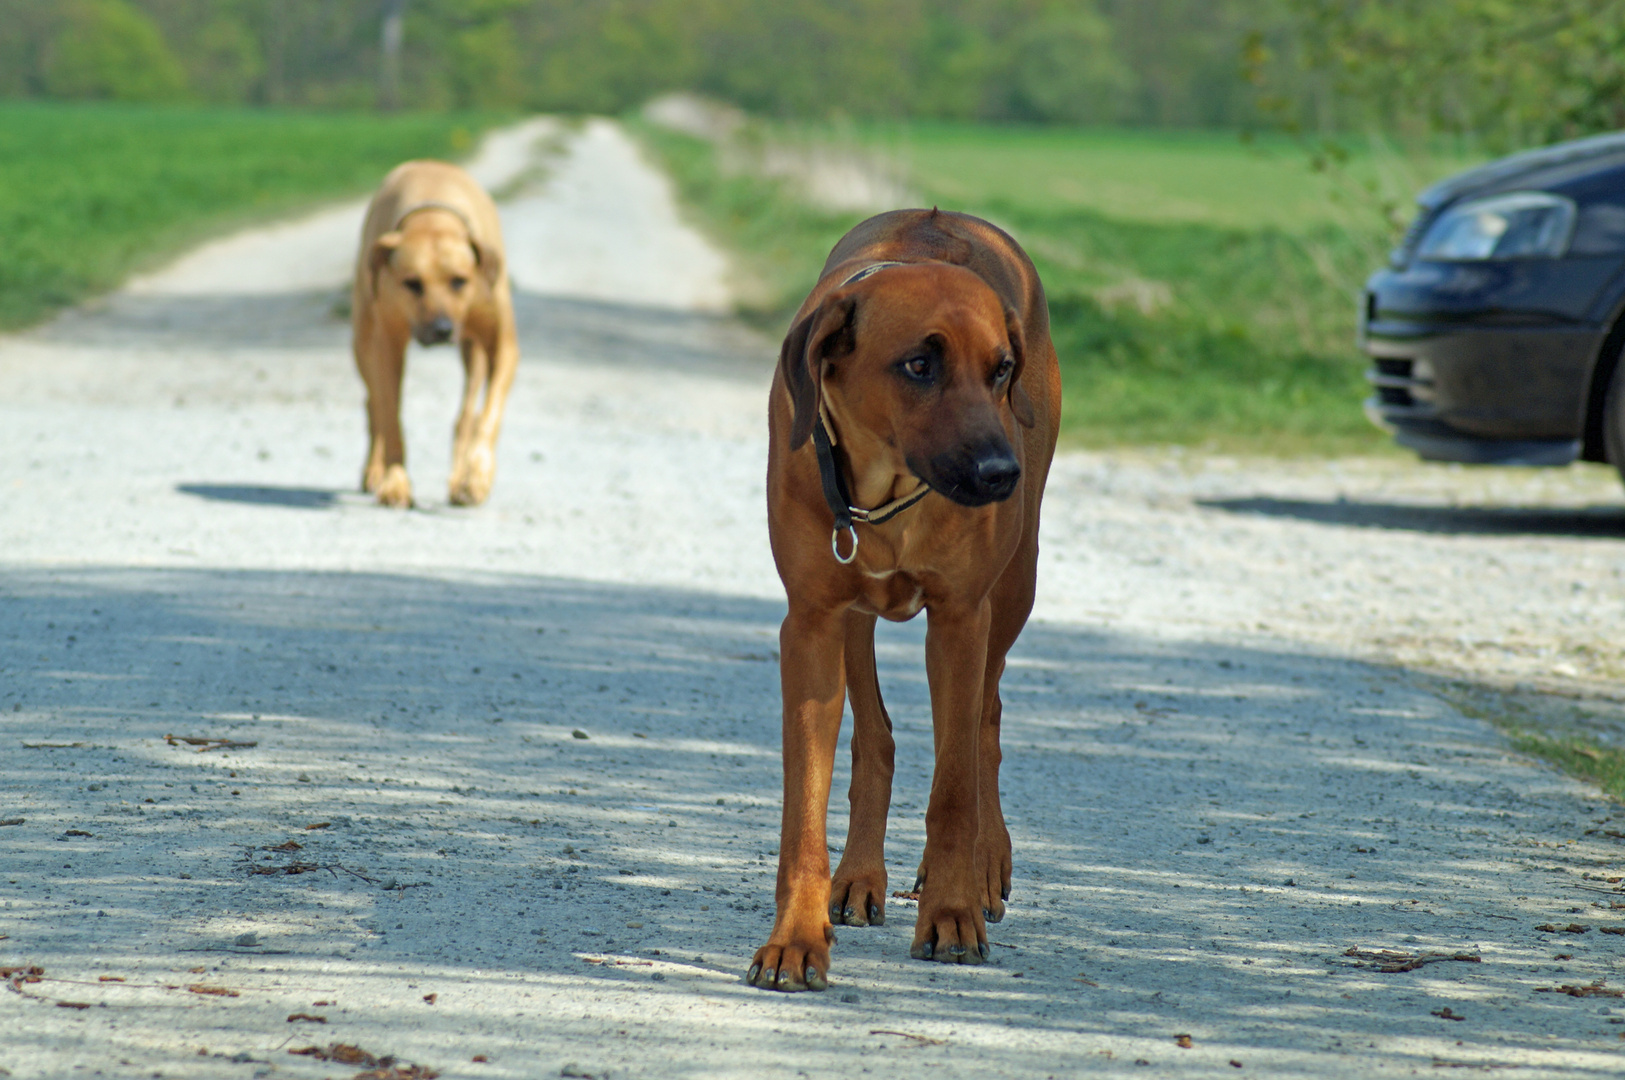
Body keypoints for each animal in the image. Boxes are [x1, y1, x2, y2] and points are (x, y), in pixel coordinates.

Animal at [352, 162, 516, 506]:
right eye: (412, 283)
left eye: (459, 281)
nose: (442, 329)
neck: (433, 218)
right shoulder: (387, 342)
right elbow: (390, 416)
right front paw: (395, 481)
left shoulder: (503, 345)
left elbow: (489, 415)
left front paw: (477, 476)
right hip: (361, 338)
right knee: (374, 403)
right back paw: (374, 471)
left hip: (473, 352)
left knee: (466, 415)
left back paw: (458, 479)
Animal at [750, 206, 1059, 987]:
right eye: (919, 365)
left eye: (1000, 369)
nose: (999, 474)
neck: (888, 486)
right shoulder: (810, 623)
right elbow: (805, 806)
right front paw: (795, 939)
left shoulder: (960, 619)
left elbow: (953, 787)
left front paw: (952, 913)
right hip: (852, 617)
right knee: (875, 739)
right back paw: (859, 877)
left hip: (1016, 583)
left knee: (984, 723)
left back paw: (985, 867)